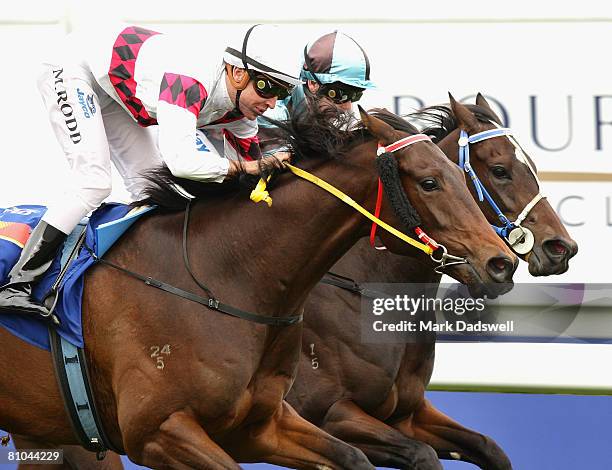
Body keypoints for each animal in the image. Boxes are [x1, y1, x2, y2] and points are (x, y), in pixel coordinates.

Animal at [0, 107, 516, 470]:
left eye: (461, 178)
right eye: (430, 182)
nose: (501, 262)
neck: (228, 278)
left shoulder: (262, 426)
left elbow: (364, 457)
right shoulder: (160, 431)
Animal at [284, 93, 576, 468]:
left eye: (535, 168)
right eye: (500, 171)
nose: (561, 247)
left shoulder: (409, 413)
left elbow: (489, 447)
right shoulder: (327, 412)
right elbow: (420, 454)